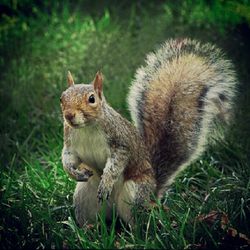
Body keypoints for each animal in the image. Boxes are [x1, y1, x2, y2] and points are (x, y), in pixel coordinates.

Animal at [60, 38, 236, 226]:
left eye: (92, 99)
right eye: (62, 98)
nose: (69, 115)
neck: (86, 128)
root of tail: (152, 195)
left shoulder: (120, 142)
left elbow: (116, 164)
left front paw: (107, 181)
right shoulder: (70, 143)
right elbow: (68, 157)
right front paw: (73, 172)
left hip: (134, 192)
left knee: (136, 218)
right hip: (84, 196)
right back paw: (89, 228)